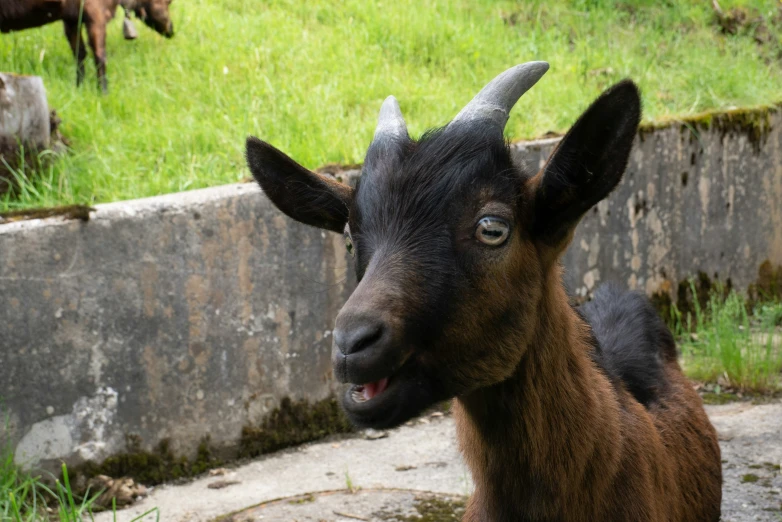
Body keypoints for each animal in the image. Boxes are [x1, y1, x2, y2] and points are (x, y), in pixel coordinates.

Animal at [0, 0, 175, 91]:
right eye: (168, 1)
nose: (171, 30)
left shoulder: (71, 19)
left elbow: (80, 54)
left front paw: (79, 86)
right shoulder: (95, 13)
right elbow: (100, 56)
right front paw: (103, 93)